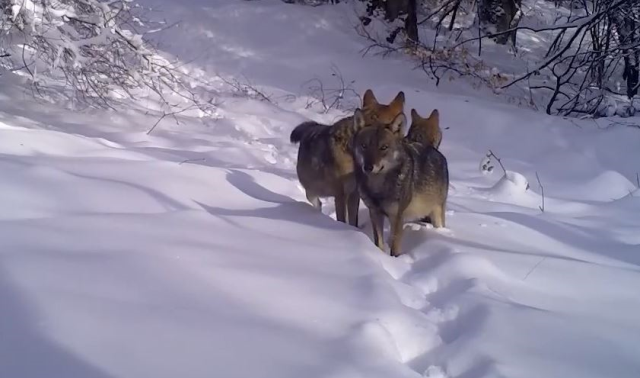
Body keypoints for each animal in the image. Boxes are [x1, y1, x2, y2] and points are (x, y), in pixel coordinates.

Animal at [352, 110, 448, 256]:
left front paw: (395, 259)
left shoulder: (397, 217)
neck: (378, 187)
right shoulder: (374, 213)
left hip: (437, 214)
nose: (368, 167)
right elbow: (379, 243)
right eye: (364, 146)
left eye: (383, 147)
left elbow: (395, 246)